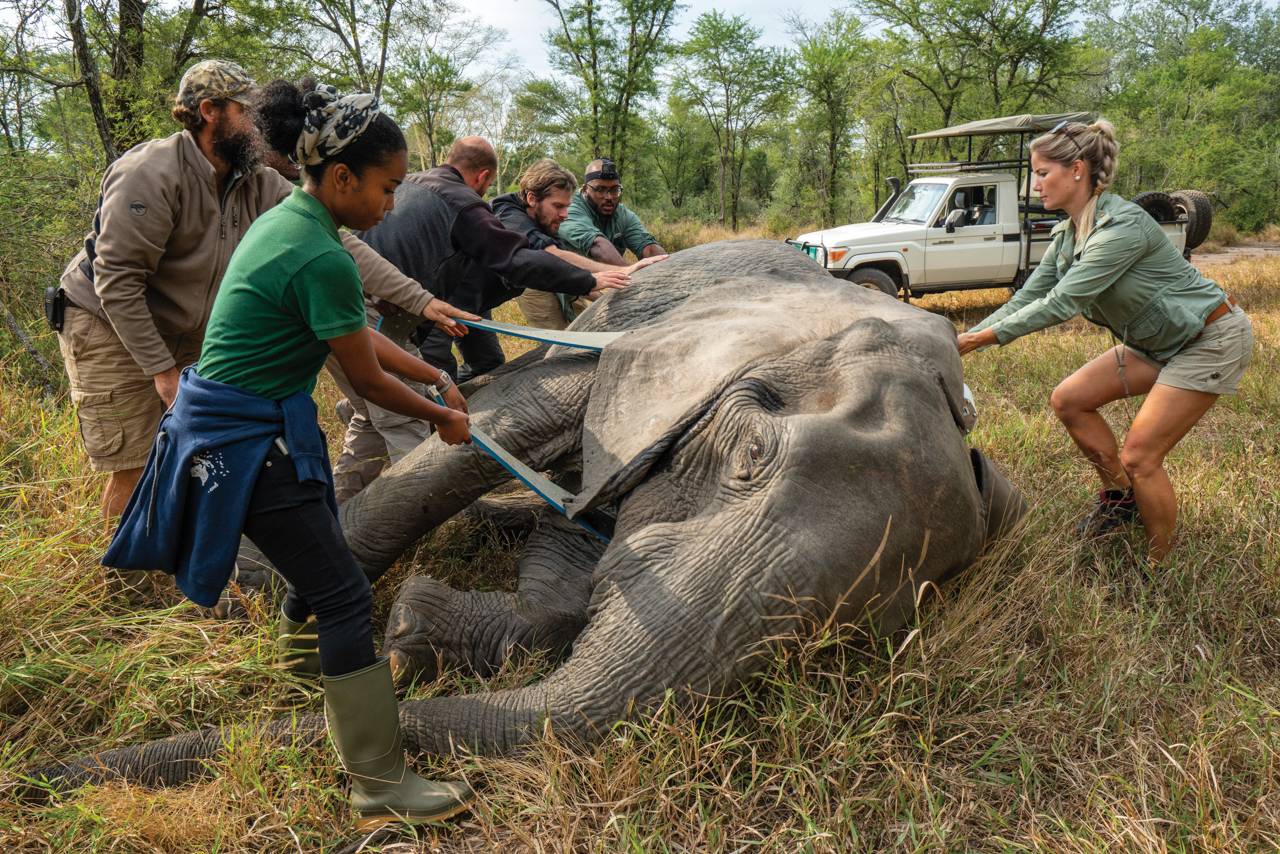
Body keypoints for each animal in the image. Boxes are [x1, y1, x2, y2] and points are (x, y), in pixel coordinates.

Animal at [28, 239, 1025, 793]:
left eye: (873, 629)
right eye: (747, 454)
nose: (45, 778)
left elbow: (577, 549)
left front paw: (415, 625)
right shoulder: (630, 351)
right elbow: (492, 427)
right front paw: (268, 610)